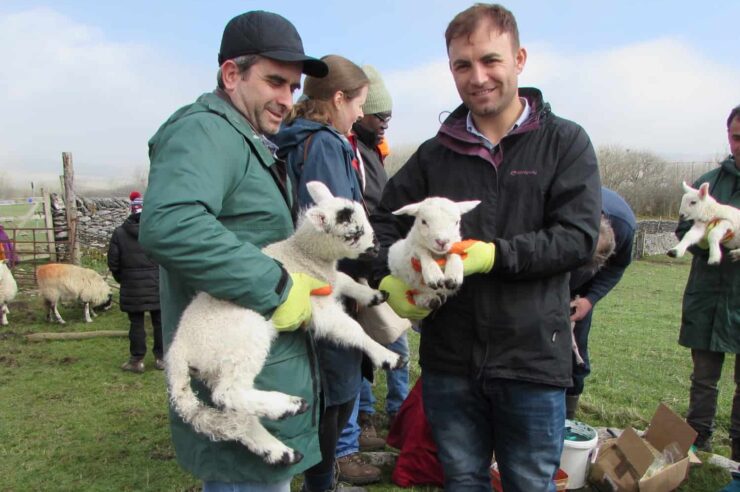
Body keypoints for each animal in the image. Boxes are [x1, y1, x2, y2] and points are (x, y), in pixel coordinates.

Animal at [168, 181, 408, 466]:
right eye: (354, 232)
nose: (377, 246)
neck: (304, 255)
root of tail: (178, 352)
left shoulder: (326, 283)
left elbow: (345, 280)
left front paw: (373, 295)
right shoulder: (317, 306)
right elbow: (352, 329)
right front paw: (388, 357)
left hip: (213, 368)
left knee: (238, 416)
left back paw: (279, 451)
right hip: (241, 341)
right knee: (229, 393)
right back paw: (289, 406)